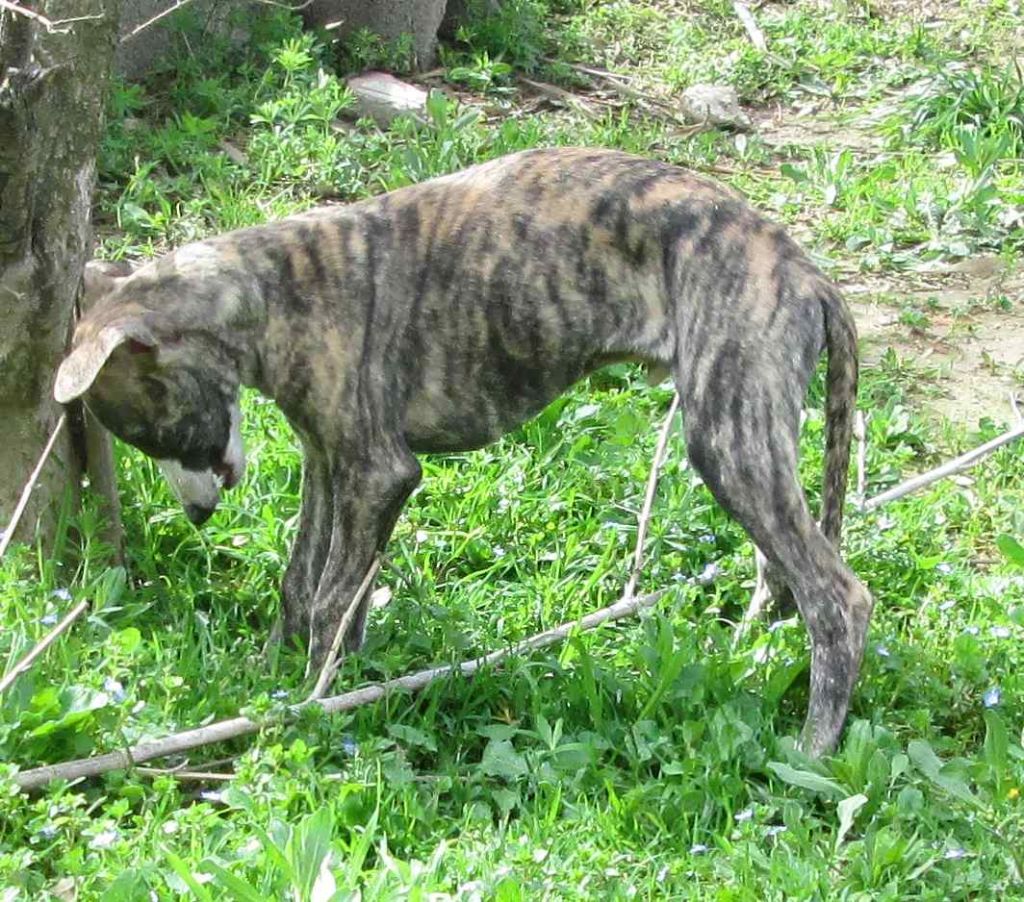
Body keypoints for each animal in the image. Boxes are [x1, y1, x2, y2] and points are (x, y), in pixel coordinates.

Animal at [55, 147, 872, 756]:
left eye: (144, 429)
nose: (198, 517)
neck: (272, 288)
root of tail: (807, 273)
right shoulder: (329, 462)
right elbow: (306, 582)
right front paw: (276, 682)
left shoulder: (377, 471)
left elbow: (330, 596)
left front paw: (313, 704)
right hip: (752, 439)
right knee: (782, 570)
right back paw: (750, 651)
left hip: (728, 439)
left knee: (838, 597)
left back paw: (812, 748)